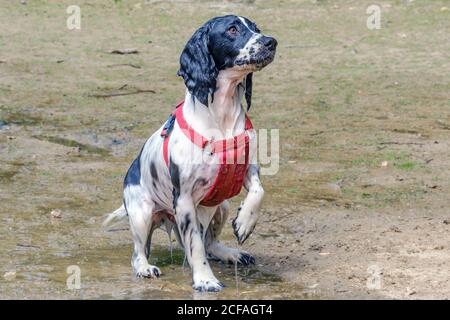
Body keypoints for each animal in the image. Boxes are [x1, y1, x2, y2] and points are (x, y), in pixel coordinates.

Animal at [104, 15, 278, 292]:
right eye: (232, 29)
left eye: (256, 29)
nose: (271, 42)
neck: (221, 117)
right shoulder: (184, 200)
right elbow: (195, 246)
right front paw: (205, 280)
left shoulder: (248, 168)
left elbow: (259, 192)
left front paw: (245, 223)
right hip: (142, 211)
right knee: (138, 252)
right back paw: (145, 268)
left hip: (222, 205)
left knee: (210, 243)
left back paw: (232, 253)